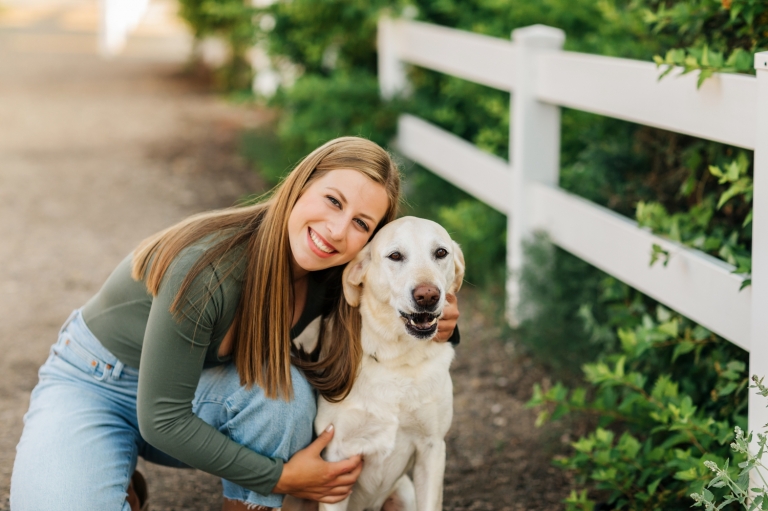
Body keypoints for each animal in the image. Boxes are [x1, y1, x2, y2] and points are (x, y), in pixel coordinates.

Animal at [291, 216, 464, 511]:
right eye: (395, 256)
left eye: (441, 252)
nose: (428, 295)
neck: (397, 360)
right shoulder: (338, 459)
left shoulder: (432, 449)